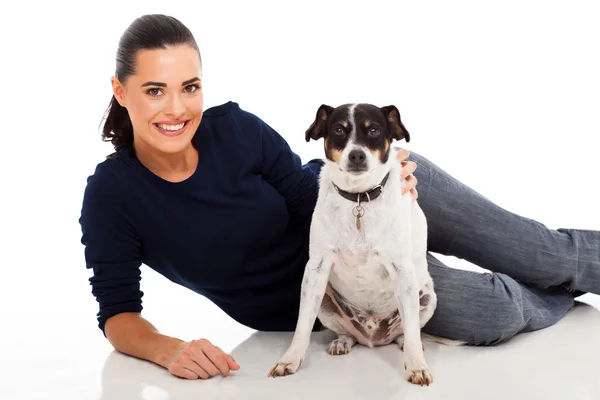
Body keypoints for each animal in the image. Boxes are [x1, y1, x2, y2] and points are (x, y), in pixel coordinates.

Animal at [268, 103, 454, 384]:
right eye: (338, 129)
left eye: (374, 130)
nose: (357, 155)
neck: (358, 198)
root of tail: (372, 334)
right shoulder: (316, 269)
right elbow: (302, 326)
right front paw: (289, 359)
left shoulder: (402, 269)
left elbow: (412, 331)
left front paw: (417, 366)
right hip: (325, 303)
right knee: (348, 333)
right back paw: (343, 342)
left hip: (426, 299)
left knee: (407, 331)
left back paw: (405, 343)